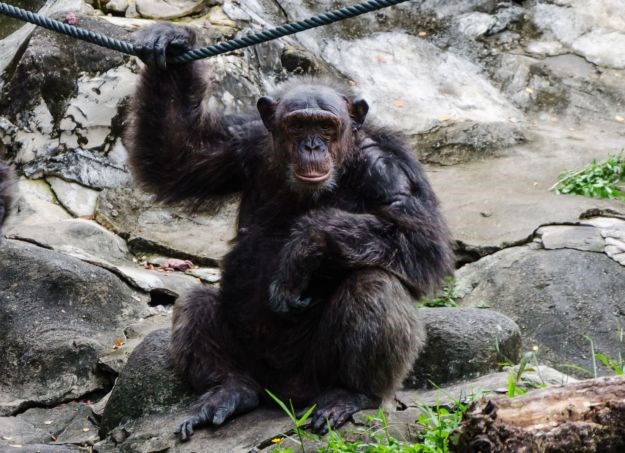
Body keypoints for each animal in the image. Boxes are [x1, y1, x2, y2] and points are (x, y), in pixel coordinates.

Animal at [129, 23, 450, 440]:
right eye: (298, 124)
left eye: (325, 126)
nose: (312, 145)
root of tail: (284, 394)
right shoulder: (241, 141)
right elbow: (177, 156)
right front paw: (170, 41)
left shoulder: (387, 168)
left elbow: (421, 239)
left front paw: (303, 248)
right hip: (255, 365)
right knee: (195, 301)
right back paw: (228, 390)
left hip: (315, 373)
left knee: (375, 284)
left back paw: (350, 394)